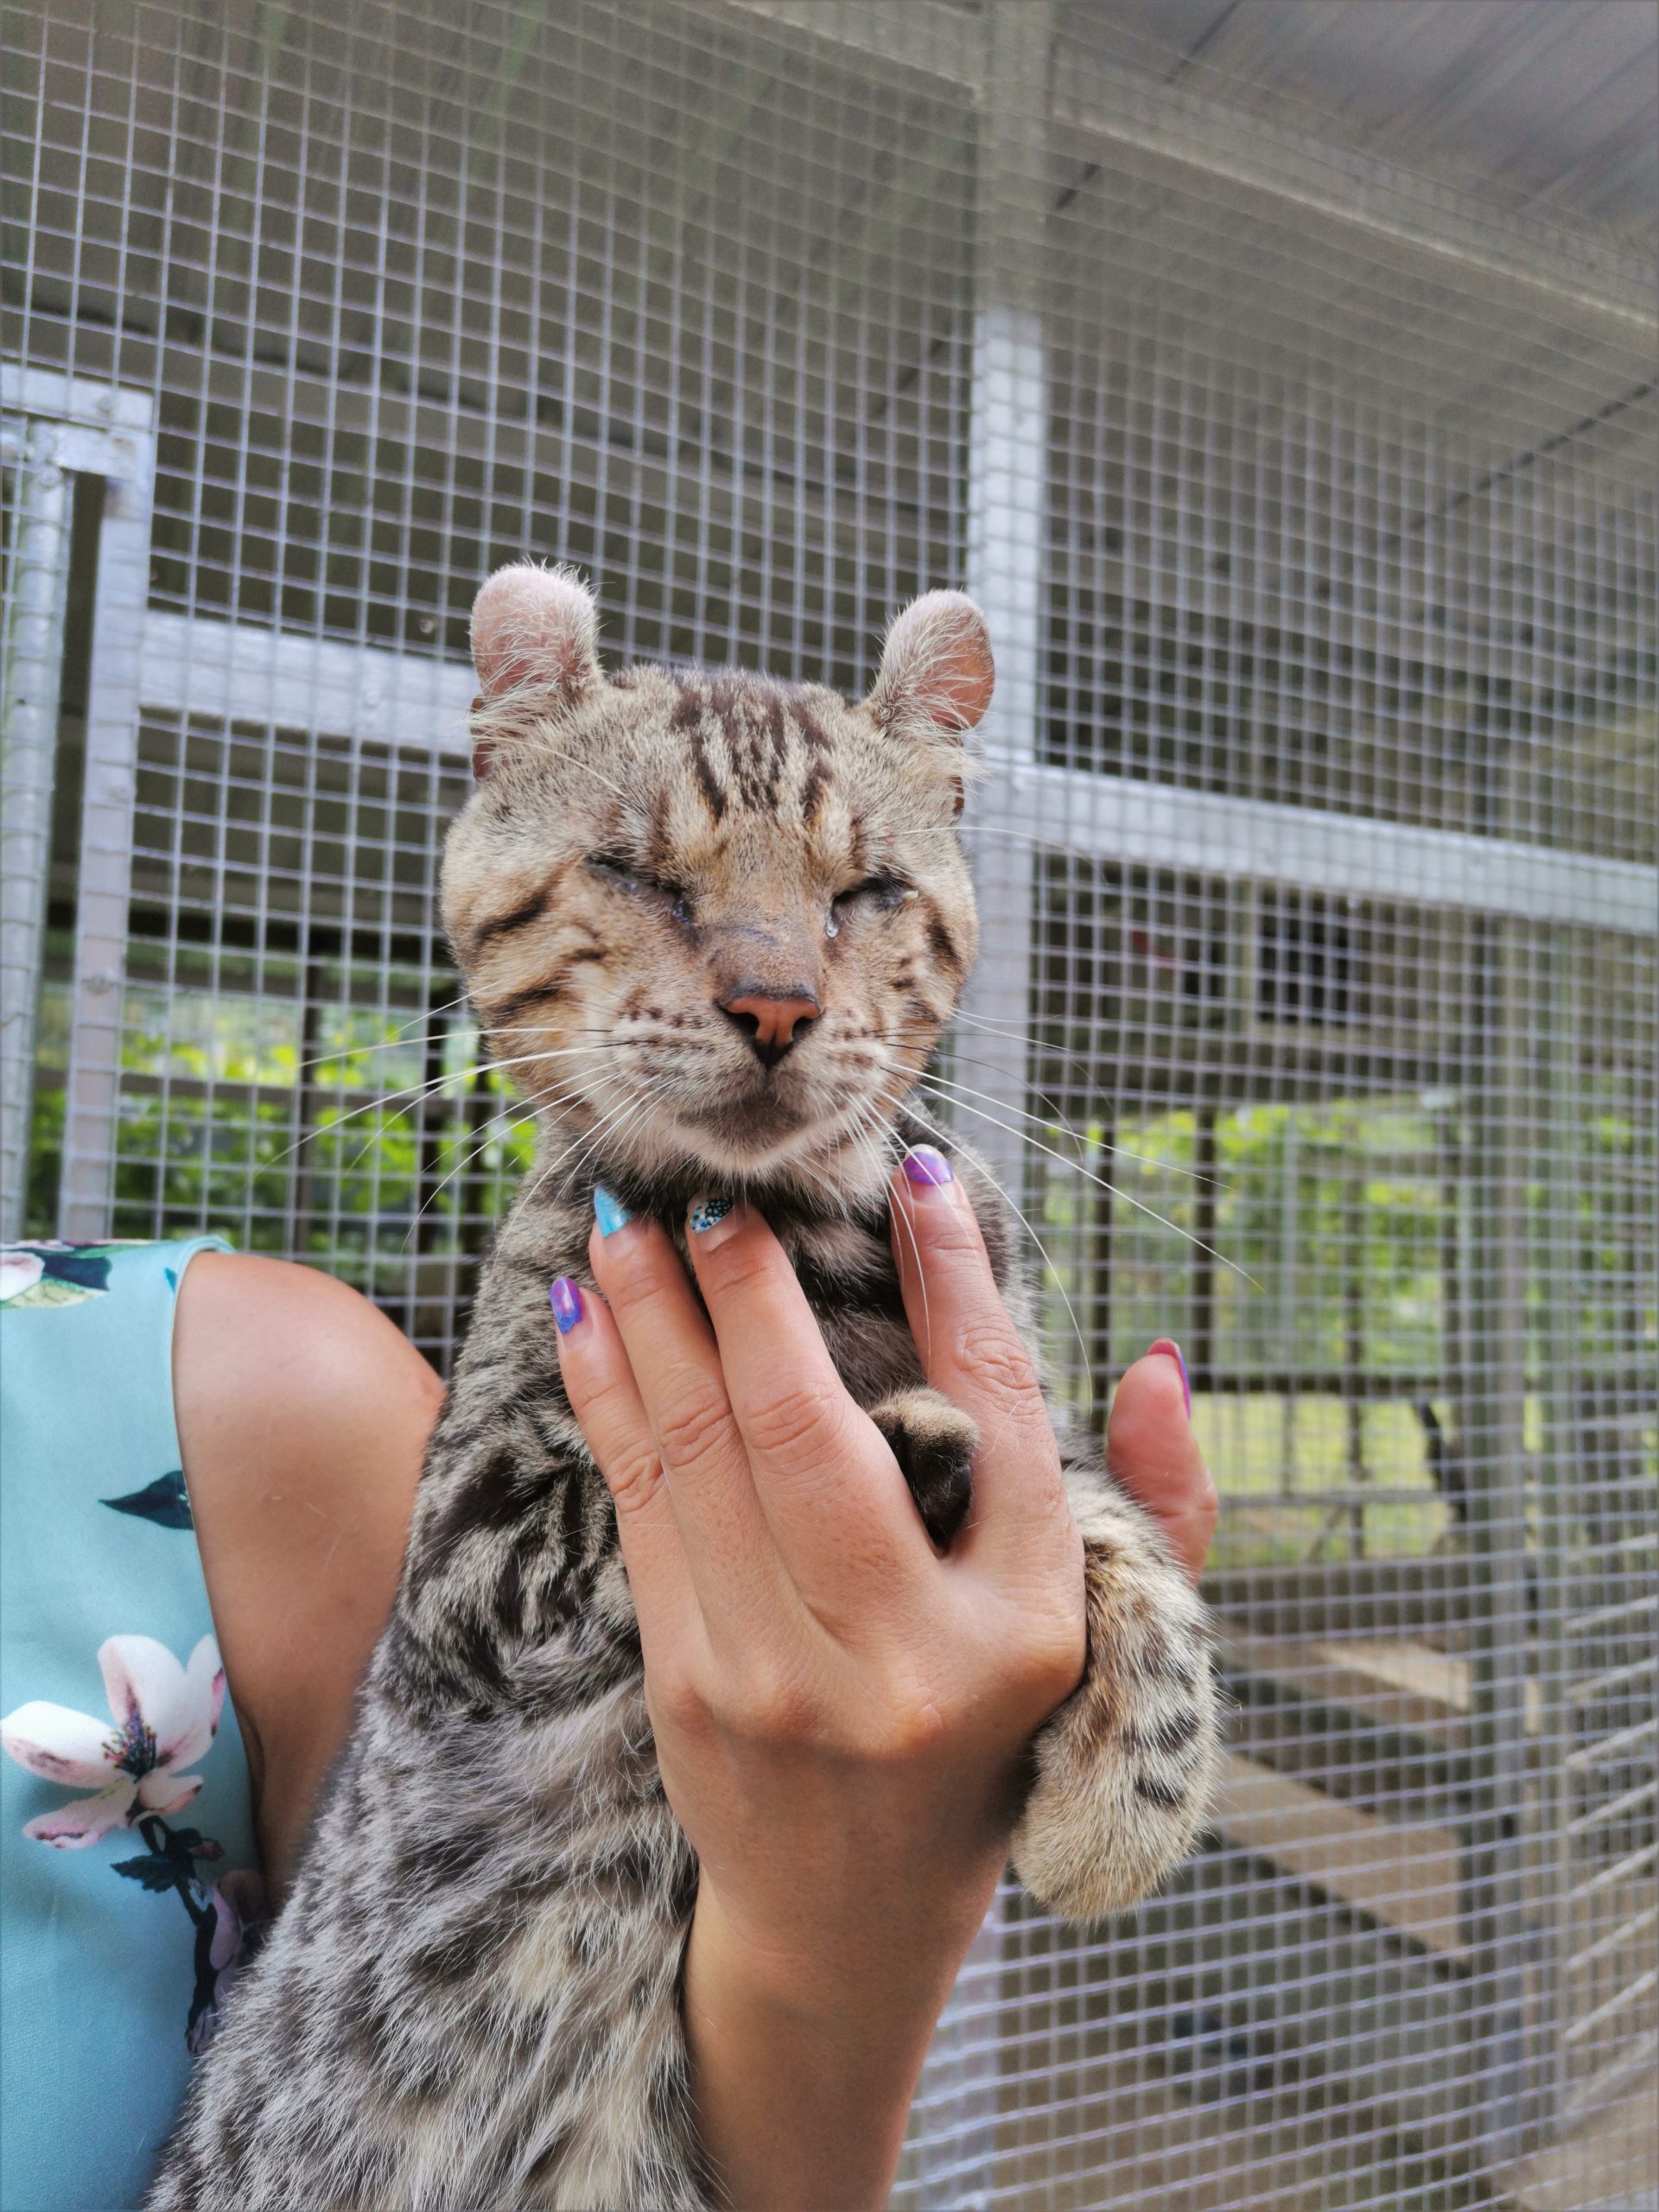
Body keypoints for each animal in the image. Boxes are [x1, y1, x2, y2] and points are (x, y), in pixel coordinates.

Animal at [149, 565, 1219, 2210]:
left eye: (866, 893)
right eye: (636, 872)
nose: (775, 1002)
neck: (796, 1235)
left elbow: (1106, 1519)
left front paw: (1131, 1804)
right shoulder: (472, 1555)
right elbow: (614, 1508)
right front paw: (901, 1447)